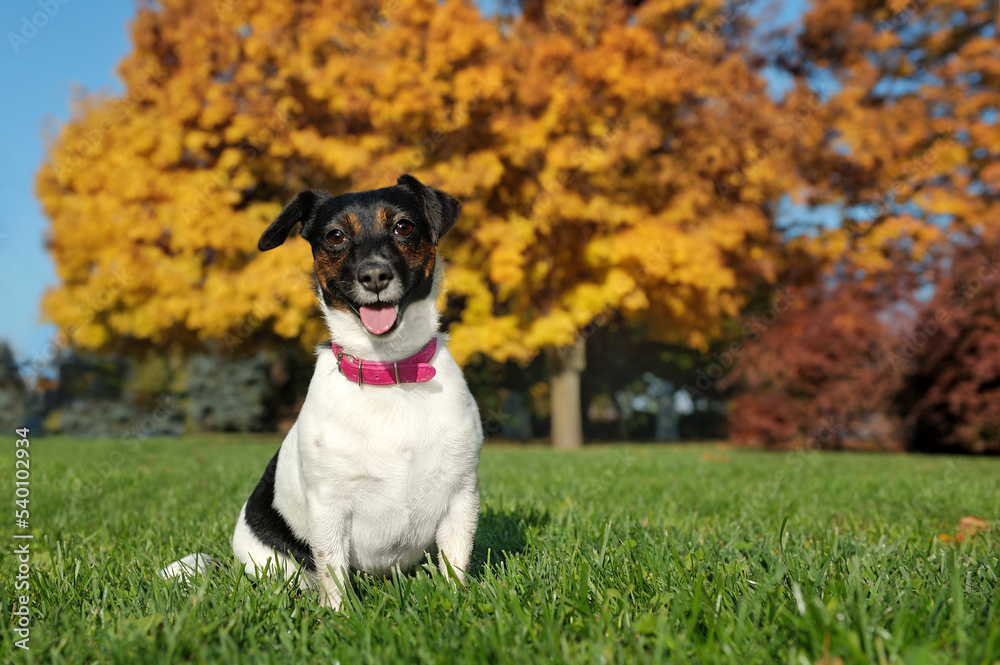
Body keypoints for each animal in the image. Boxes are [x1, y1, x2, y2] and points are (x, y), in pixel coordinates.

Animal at [160, 175, 484, 608]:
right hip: (279, 568)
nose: (374, 276)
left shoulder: (461, 498)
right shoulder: (328, 508)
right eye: (335, 236)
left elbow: (454, 567)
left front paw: (455, 603)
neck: (388, 372)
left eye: (404, 226)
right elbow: (333, 573)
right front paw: (341, 614)